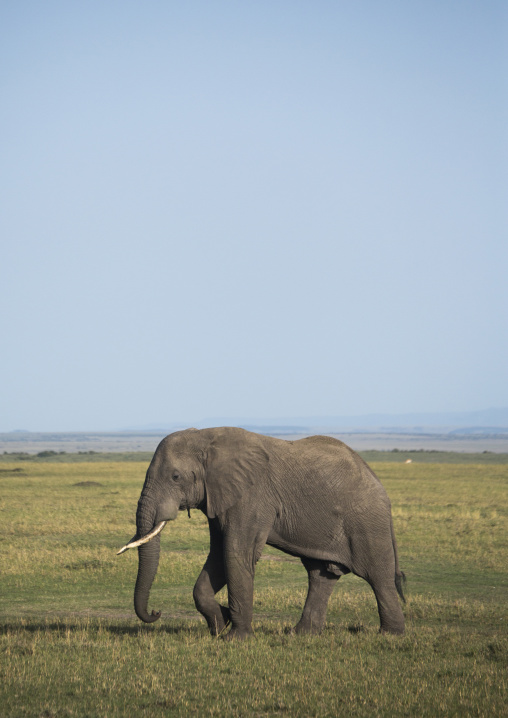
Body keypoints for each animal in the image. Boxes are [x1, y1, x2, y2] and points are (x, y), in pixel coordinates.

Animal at [118, 427, 406, 639]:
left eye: (175, 477)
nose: (156, 611)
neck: (206, 438)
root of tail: (380, 486)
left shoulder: (252, 496)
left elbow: (236, 553)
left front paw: (236, 638)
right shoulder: (219, 497)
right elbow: (218, 556)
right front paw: (219, 625)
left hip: (367, 522)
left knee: (378, 576)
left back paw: (390, 635)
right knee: (320, 575)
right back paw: (299, 635)